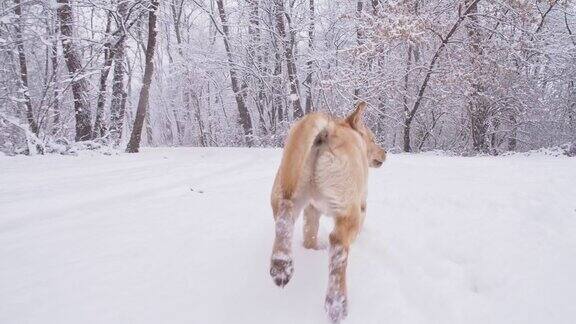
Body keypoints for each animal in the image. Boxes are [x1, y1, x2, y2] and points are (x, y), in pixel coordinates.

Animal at [270, 100, 388, 322]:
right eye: (373, 139)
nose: (385, 151)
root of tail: (328, 129)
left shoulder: (311, 209)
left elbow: (309, 232)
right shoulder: (361, 204)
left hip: (288, 189)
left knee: (285, 218)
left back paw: (282, 265)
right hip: (348, 212)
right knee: (338, 248)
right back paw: (336, 303)